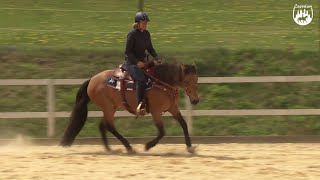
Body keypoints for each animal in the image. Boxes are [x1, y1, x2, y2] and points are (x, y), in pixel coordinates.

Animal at [60, 62, 199, 154]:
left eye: (196, 80)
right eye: (187, 82)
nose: (195, 100)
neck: (161, 82)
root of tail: (92, 80)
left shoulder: (173, 108)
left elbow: (183, 124)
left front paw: (190, 147)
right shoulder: (156, 112)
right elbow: (162, 131)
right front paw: (148, 146)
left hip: (110, 108)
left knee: (102, 126)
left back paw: (109, 149)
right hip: (108, 107)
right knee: (110, 126)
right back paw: (128, 147)